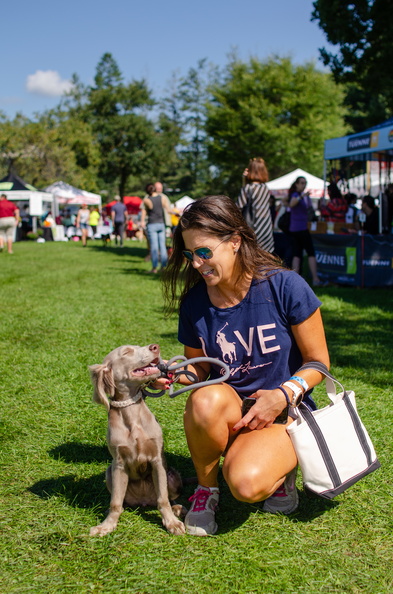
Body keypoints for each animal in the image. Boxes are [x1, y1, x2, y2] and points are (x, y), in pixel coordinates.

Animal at [89, 340, 185, 536]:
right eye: (126, 352)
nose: (155, 347)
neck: (132, 415)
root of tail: (144, 501)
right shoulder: (119, 463)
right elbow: (115, 502)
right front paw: (107, 525)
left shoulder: (157, 460)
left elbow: (163, 499)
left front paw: (171, 523)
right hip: (109, 473)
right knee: (120, 501)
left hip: (172, 475)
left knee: (167, 498)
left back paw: (177, 509)